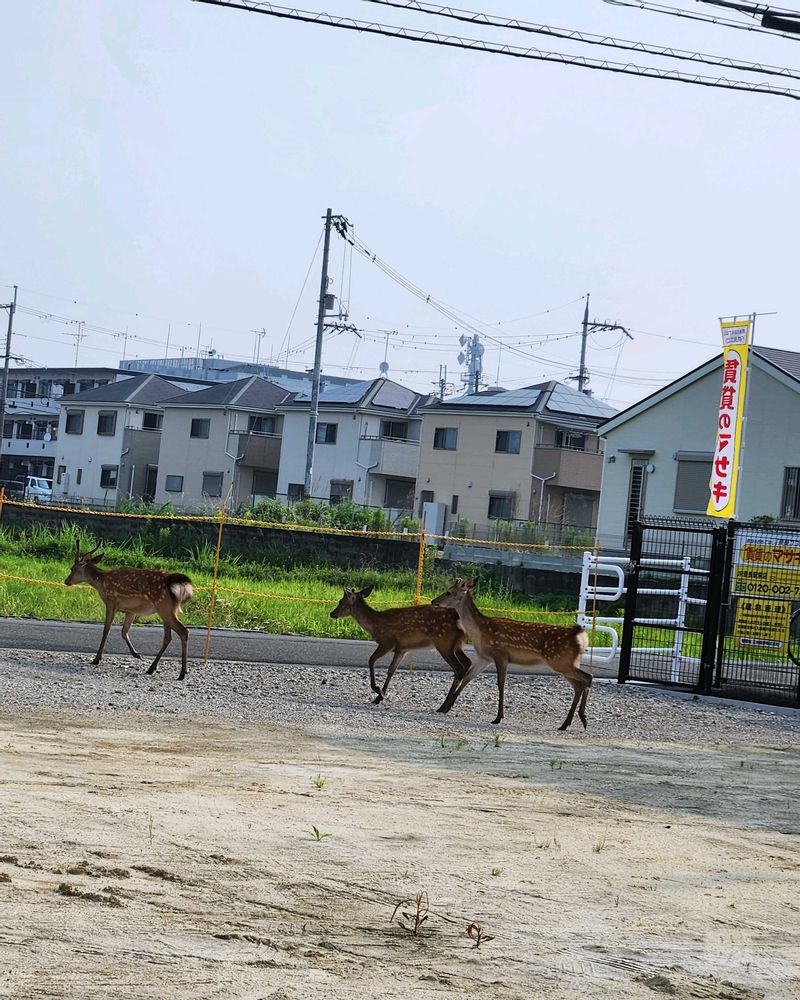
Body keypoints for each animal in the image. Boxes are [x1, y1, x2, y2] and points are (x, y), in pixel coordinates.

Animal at [64, 541, 194, 680]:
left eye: (72, 568)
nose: (66, 581)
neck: (101, 583)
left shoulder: (111, 602)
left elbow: (106, 630)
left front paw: (96, 659)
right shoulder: (131, 611)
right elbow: (124, 632)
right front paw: (137, 654)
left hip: (164, 607)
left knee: (183, 631)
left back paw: (181, 673)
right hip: (167, 610)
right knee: (168, 637)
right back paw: (153, 668)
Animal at [329, 584, 471, 707]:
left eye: (340, 601)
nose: (332, 614)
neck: (374, 625)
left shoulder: (387, 642)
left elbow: (371, 660)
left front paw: (377, 690)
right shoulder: (401, 649)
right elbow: (391, 670)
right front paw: (379, 697)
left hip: (444, 643)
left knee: (459, 668)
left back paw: (444, 706)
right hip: (457, 645)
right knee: (467, 663)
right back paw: (449, 703)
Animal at [431, 578, 591, 731]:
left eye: (448, 592)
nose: (433, 601)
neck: (480, 632)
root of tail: (580, 636)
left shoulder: (500, 654)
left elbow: (501, 684)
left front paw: (498, 717)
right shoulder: (484, 657)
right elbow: (467, 678)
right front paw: (446, 707)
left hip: (559, 661)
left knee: (587, 677)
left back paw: (582, 718)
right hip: (565, 663)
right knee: (578, 685)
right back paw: (566, 723)